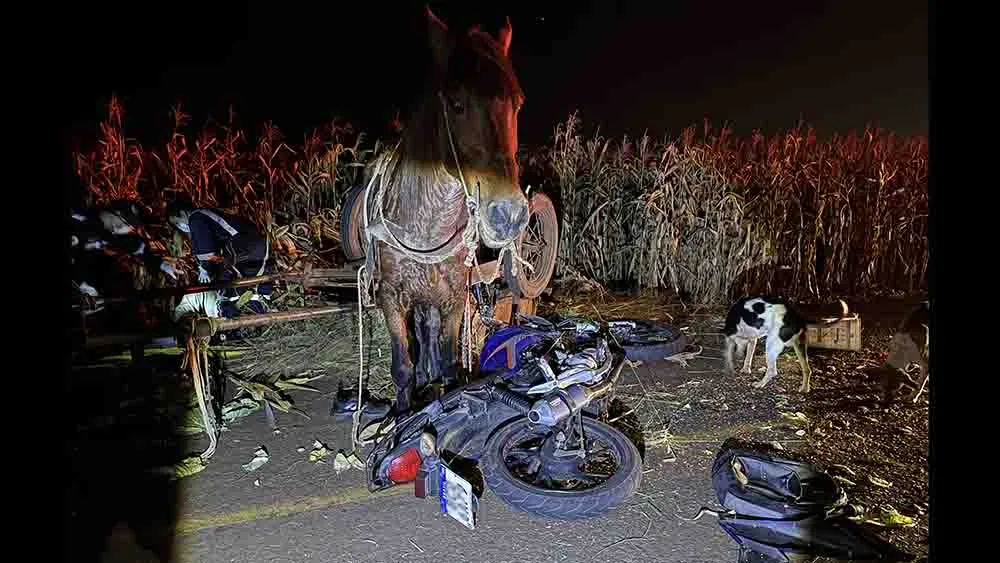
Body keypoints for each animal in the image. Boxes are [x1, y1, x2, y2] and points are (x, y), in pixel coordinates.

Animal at [364, 6, 528, 416]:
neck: (427, 227)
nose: (508, 214)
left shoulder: (453, 297)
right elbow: (402, 367)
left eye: (517, 103)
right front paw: (402, 415)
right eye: (456, 104)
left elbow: (450, 363)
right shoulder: (391, 298)